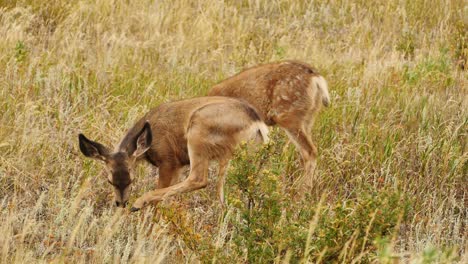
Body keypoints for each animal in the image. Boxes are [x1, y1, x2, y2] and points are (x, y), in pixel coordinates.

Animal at [78, 96, 268, 211]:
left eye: (132, 179)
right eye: (109, 180)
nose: (122, 203)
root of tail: (257, 124)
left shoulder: (168, 161)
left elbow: (161, 190)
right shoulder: (178, 166)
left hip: (198, 133)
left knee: (199, 179)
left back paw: (139, 203)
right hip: (236, 158)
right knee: (225, 194)